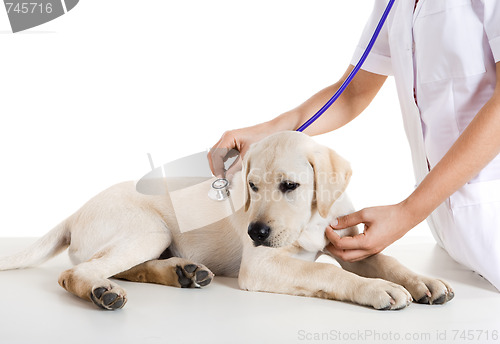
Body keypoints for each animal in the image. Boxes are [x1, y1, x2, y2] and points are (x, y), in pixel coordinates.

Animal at [0, 131, 454, 310]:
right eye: (251, 186)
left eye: (290, 185)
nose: (255, 231)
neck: (307, 222)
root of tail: (73, 212)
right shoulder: (262, 264)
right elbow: (330, 274)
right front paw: (379, 290)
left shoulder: (347, 242)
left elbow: (387, 259)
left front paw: (424, 282)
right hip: (149, 229)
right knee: (78, 272)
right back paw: (102, 292)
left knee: (125, 267)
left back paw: (182, 272)